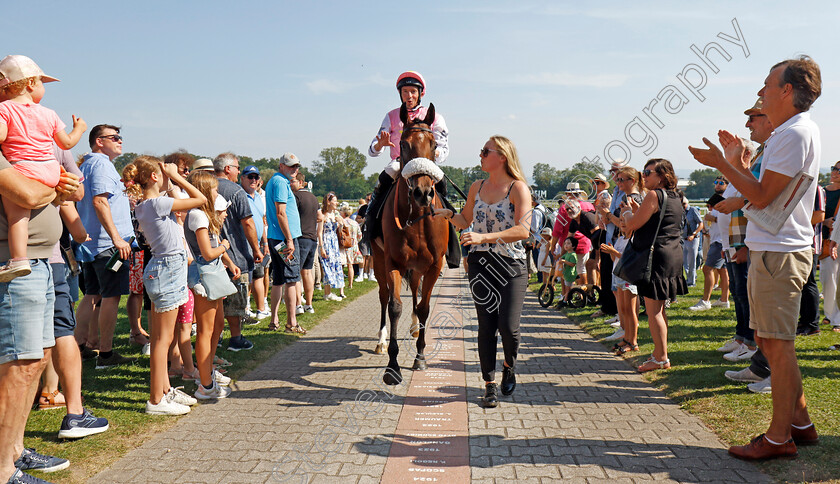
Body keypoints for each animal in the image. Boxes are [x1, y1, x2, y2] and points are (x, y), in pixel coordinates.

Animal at [372, 103, 450, 386]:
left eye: (434, 144)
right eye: (403, 145)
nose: (423, 192)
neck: (416, 218)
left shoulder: (434, 265)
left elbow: (425, 307)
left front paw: (420, 356)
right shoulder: (392, 261)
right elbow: (395, 306)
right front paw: (392, 366)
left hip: (417, 268)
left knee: (415, 292)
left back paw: (415, 328)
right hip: (377, 260)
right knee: (383, 297)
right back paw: (381, 341)